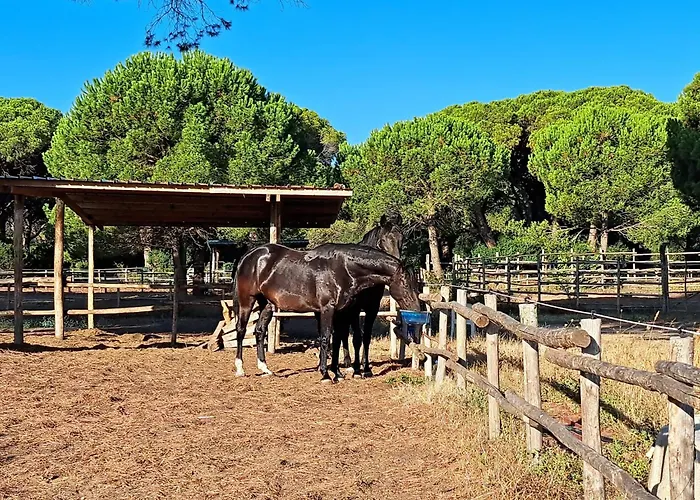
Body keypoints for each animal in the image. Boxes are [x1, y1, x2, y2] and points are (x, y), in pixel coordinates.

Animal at [232, 243, 421, 382]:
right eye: (405, 283)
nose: (417, 308)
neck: (343, 268)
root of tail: (249, 256)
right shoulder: (327, 309)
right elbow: (325, 338)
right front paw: (326, 374)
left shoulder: (340, 312)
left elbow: (337, 340)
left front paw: (338, 373)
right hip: (247, 301)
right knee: (241, 330)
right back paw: (240, 368)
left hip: (267, 305)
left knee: (259, 331)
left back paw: (265, 368)